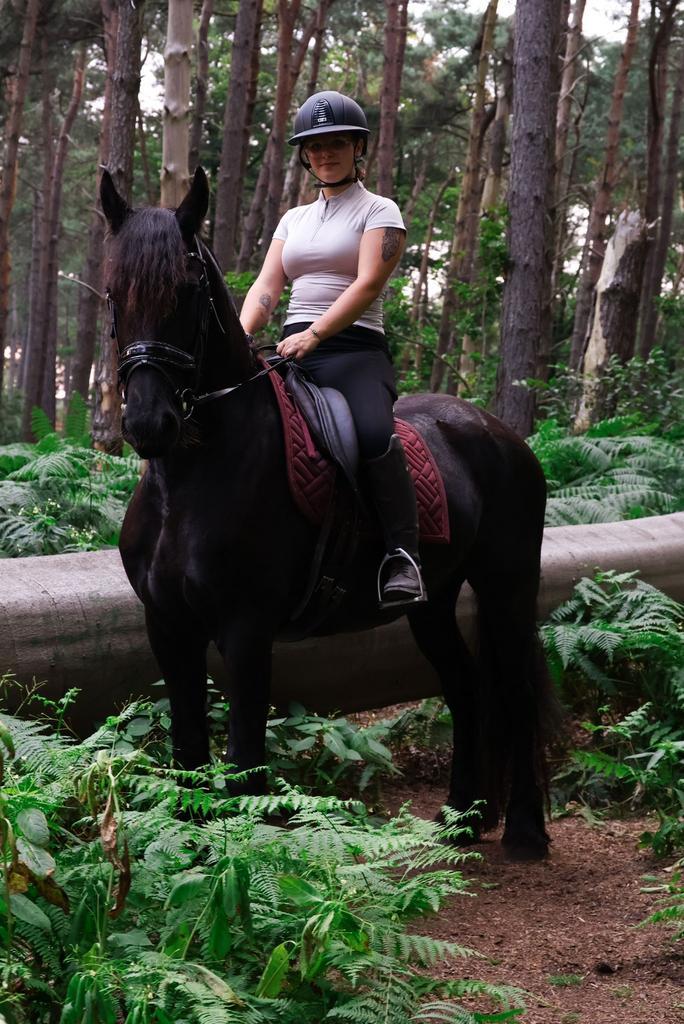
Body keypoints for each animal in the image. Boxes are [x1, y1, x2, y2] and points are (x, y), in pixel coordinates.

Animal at [100, 166, 557, 861]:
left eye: (187, 291)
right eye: (113, 293)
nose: (151, 424)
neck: (192, 481)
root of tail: (499, 432)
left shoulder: (246, 630)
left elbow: (244, 762)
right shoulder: (168, 626)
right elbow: (188, 752)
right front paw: (192, 860)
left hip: (507, 585)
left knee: (515, 689)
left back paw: (526, 832)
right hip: (434, 601)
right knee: (466, 688)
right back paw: (458, 822)